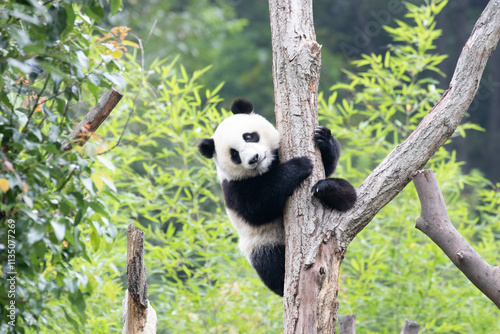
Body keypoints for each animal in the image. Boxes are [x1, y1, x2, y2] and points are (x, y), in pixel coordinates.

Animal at [197, 98, 358, 296]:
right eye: (234, 154)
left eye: (248, 136)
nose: (254, 158)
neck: (266, 166)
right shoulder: (234, 187)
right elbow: (257, 208)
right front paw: (299, 165)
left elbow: (327, 166)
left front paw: (323, 138)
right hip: (262, 242)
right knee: (270, 264)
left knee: (346, 191)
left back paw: (331, 190)